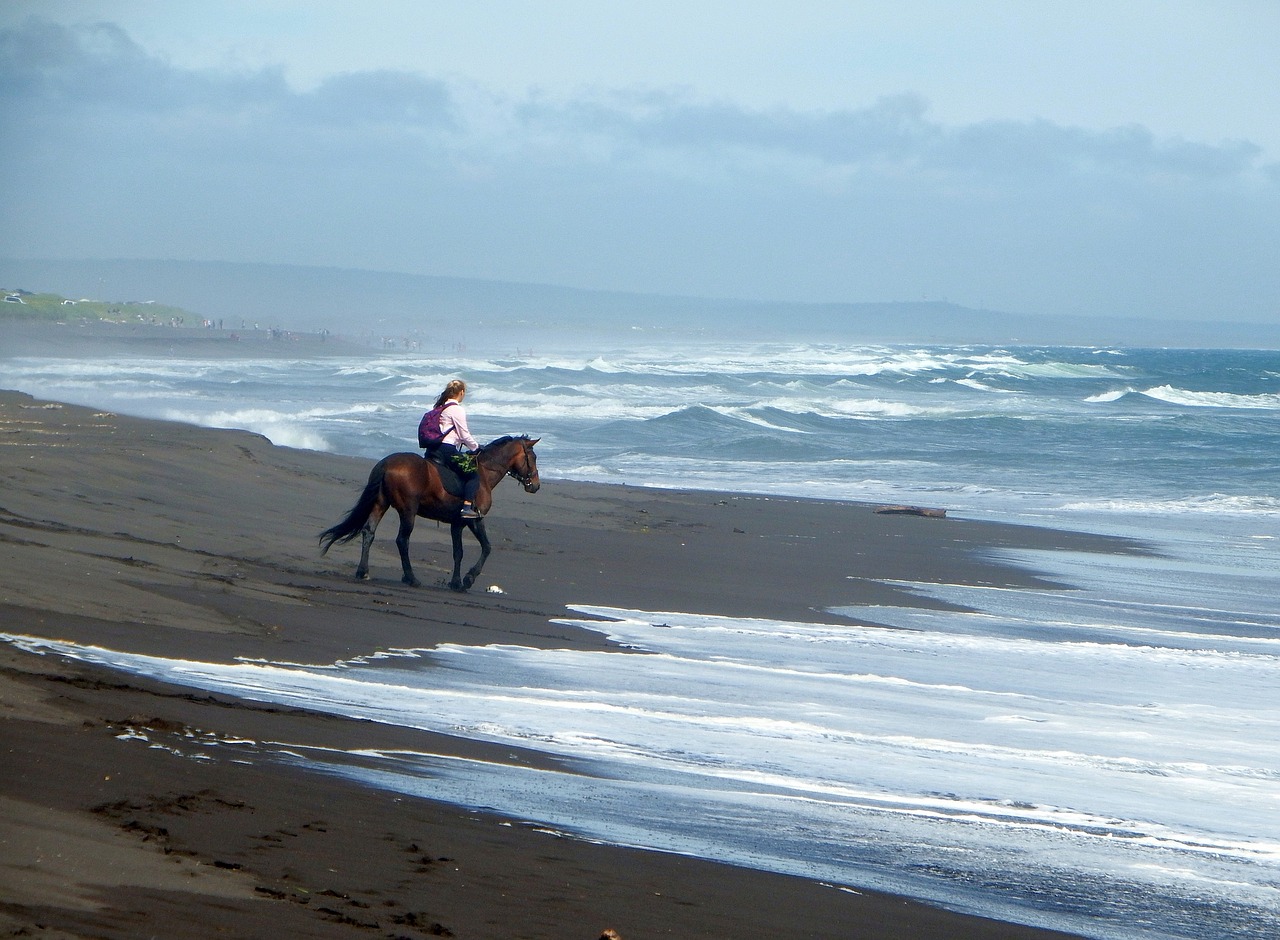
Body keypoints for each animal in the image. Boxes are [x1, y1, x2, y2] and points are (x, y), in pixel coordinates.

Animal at [322, 435, 542, 589]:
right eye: (533, 457)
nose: (536, 486)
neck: (484, 474)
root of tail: (386, 463)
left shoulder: (457, 524)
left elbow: (458, 552)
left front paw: (456, 582)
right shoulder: (474, 519)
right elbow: (487, 547)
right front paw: (468, 578)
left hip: (380, 504)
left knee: (369, 532)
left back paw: (363, 571)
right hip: (408, 511)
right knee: (402, 540)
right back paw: (411, 578)